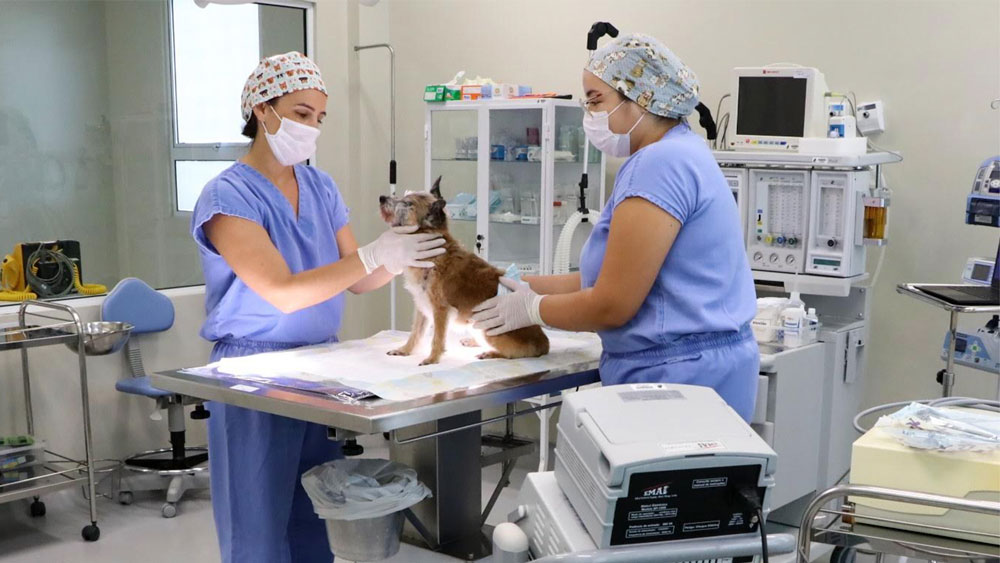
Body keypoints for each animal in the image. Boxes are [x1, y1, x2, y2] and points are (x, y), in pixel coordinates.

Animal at [379, 177, 549, 366]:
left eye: (407, 203)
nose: (381, 198)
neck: (433, 256)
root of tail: (544, 343)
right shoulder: (422, 307)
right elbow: (415, 333)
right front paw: (404, 350)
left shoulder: (440, 309)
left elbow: (437, 338)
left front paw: (432, 358)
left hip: (488, 329)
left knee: (510, 353)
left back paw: (489, 353)